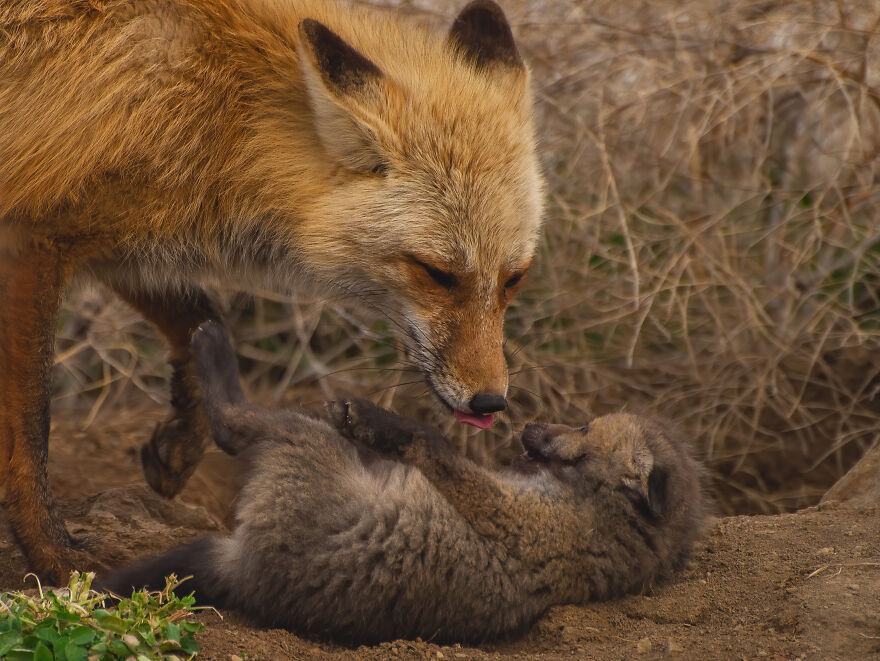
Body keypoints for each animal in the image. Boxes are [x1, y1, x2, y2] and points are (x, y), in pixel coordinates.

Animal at [0, 0, 544, 582]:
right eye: (437, 273)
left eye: (514, 278)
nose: (490, 401)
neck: (222, 113)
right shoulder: (32, 241)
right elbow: (31, 432)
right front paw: (53, 557)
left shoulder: (115, 241)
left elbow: (202, 322)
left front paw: (181, 443)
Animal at [102, 321, 708, 643]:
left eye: (583, 428)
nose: (527, 426)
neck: (608, 519)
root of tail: (247, 574)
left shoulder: (510, 517)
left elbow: (429, 442)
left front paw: (376, 420)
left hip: (305, 447)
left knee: (232, 422)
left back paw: (211, 345)